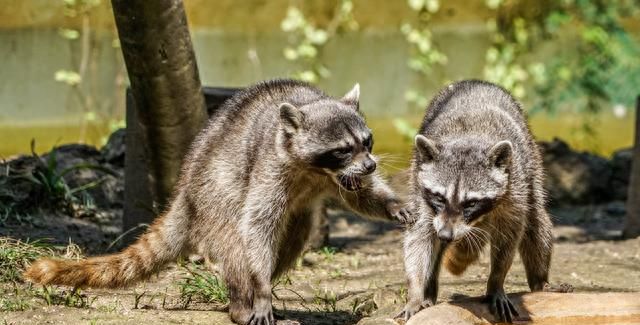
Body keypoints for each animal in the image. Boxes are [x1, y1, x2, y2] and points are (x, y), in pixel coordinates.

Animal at [23, 79, 410, 324]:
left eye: (367, 142)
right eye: (343, 149)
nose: (372, 165)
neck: (316, 170)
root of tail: (184, 195)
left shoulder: (340, 176)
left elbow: (361, 194)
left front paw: (390, 203)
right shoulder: (269, 163)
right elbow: (256, 223)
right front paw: (261, 290)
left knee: (293, 236)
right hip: (215, 198)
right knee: (238, 244)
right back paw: (244, 300)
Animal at [400, 80, 556, 322]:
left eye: (471, 203)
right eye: (440, 197)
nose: (446, 235)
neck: (467, 137)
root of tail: (476, 82)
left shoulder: (514, 189)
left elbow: (509, 236)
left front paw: (496, 281)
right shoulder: (421, 189)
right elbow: (420, 235)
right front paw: (415, 291)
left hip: (531, 162)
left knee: (536, 225)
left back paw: (540, 282)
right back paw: (429, 290)